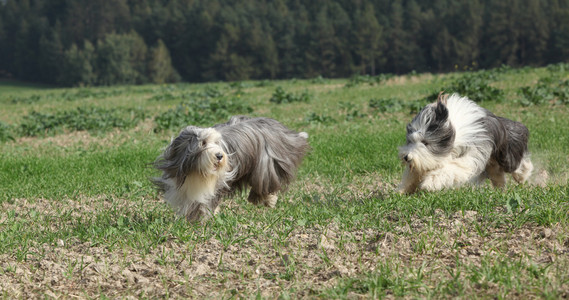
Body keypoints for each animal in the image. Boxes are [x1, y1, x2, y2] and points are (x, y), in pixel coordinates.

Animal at [153, 116, 308, 221]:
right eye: (203, 143)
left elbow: (205, 204)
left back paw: (267, 200)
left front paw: (203, 218)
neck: (197, 171)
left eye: (217, 143)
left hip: (266, 164)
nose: (219, 155)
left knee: (266, 184)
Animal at [398, 92, 532, 193]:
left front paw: (430, 182)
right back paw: (500, 188)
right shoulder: (427, 159)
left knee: (516, 164)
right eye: (410, 140)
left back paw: (523, 175)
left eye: (425, 142)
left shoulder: (474, 149)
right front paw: (403, 190)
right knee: (497, 173)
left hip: (505, 156)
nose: (407, 157)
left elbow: (455, 167)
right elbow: (416, 171)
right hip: (492, 162)